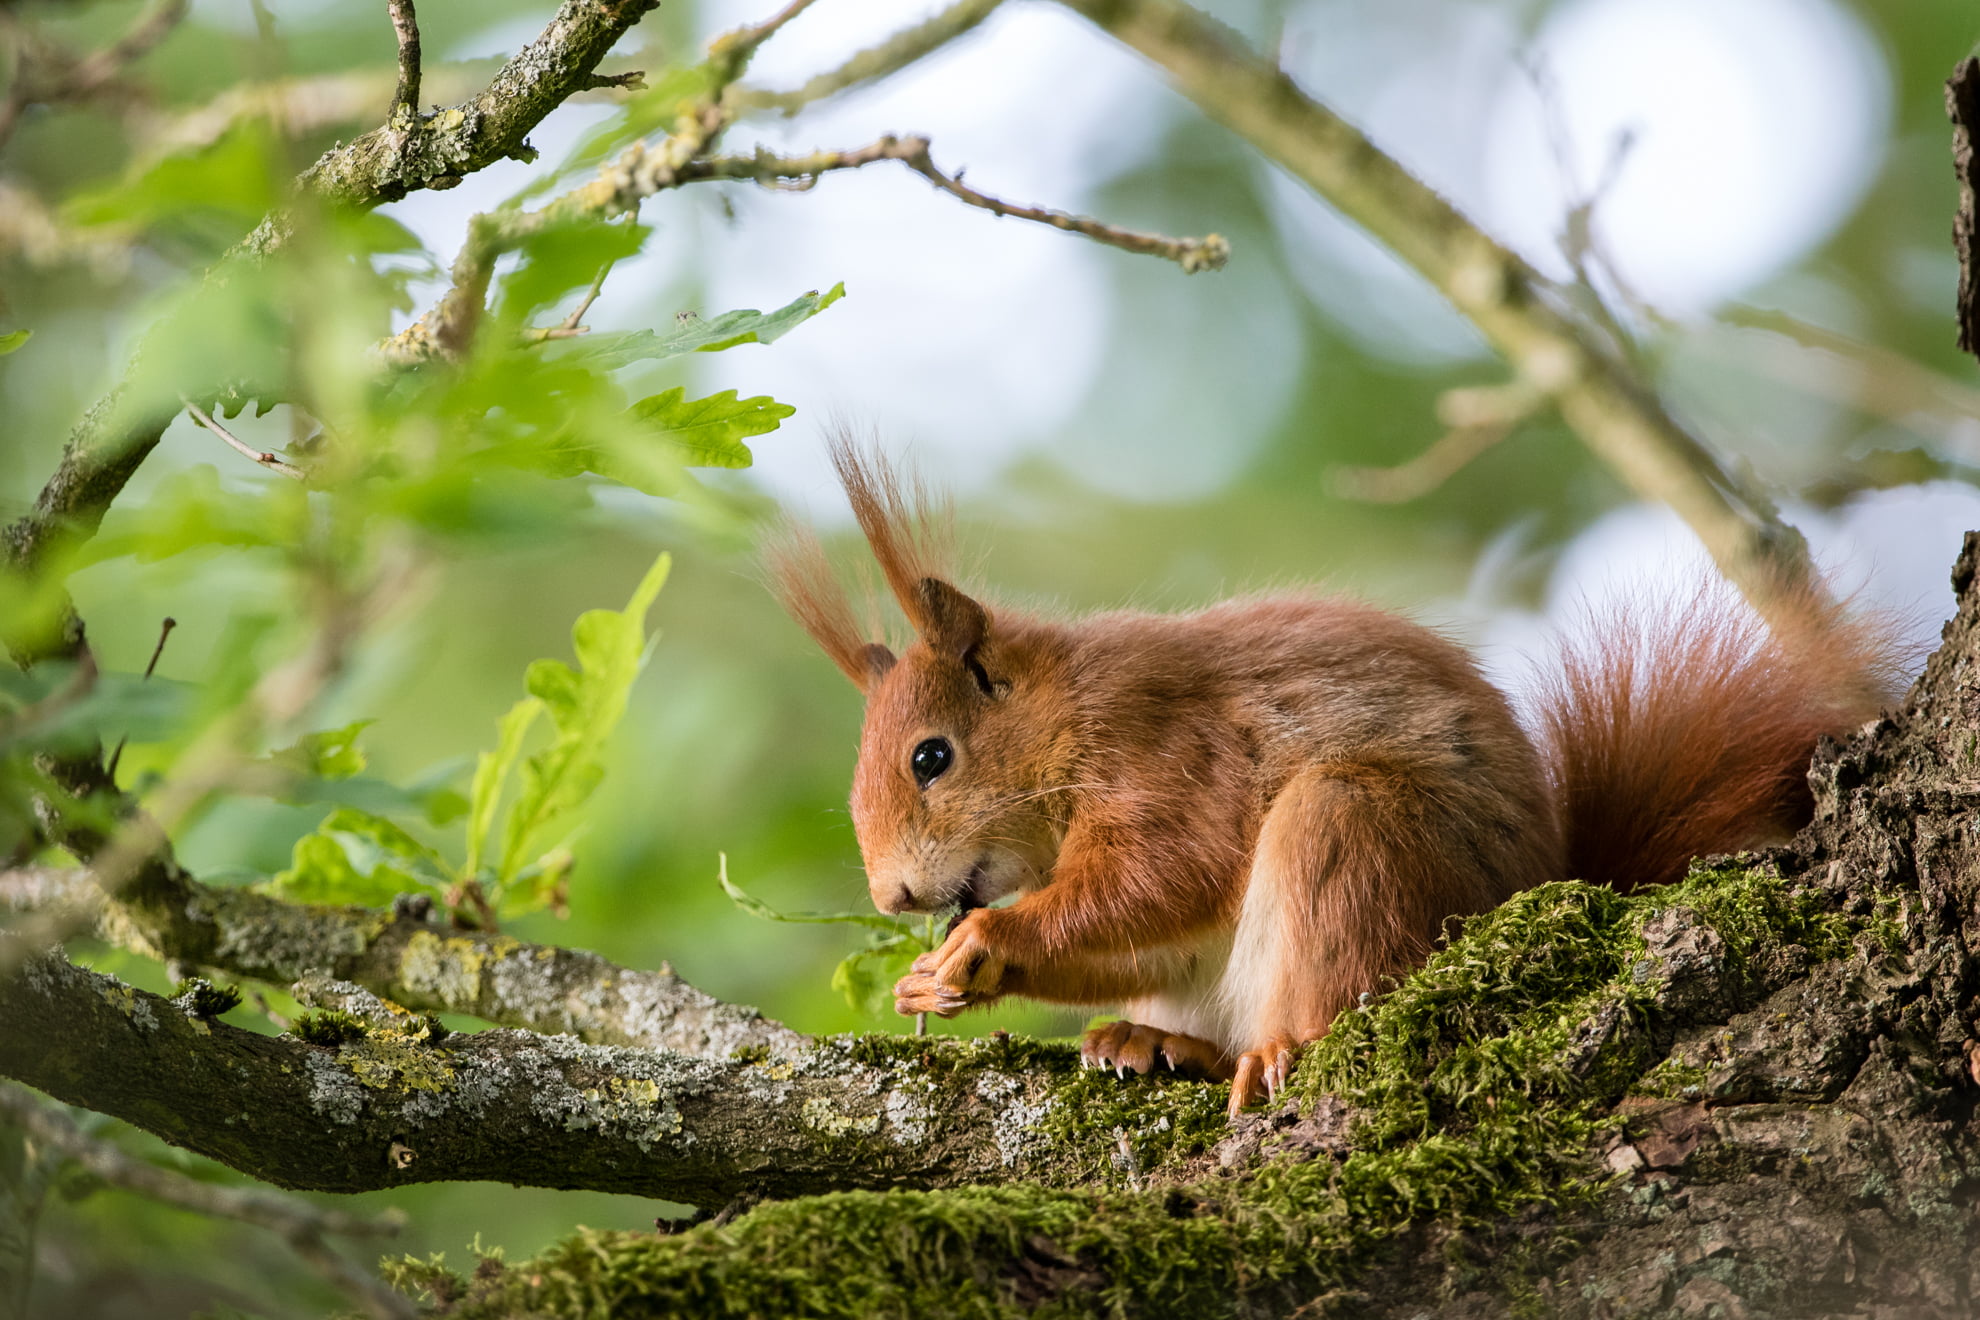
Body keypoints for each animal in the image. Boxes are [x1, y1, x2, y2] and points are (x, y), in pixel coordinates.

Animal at [768, 441, 1899, 1117]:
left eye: (932, 757)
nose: (894, 897)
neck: (1064, 719)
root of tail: (1545, 881)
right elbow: (1141, 934)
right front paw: (929, 978)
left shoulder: (1172, 757)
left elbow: (1158, 879)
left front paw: (982, 942)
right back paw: (1155, 1043)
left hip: (1361, 832)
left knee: (1332, 990)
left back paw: (1266, 1052)